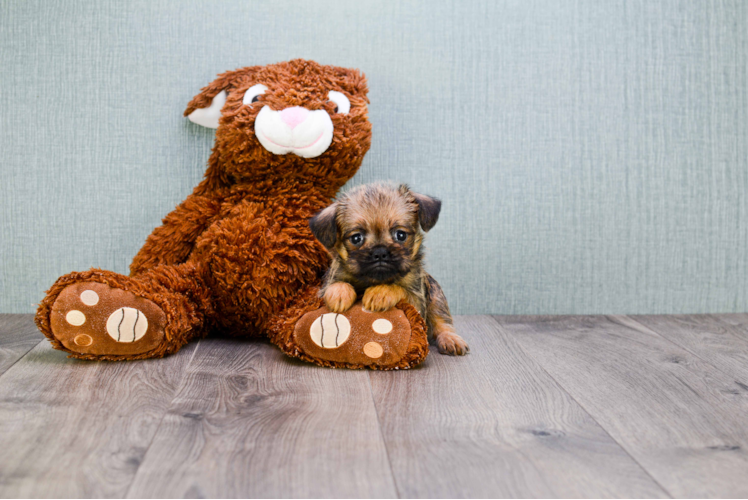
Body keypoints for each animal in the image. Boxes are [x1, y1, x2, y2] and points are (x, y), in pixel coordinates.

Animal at [310, 184, 468, 356]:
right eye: (356, 238)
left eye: (400, 235)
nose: (380, 252)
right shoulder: (326, 284)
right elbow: (337, 284)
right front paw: (339, 293)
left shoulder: (417, 301)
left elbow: (399, 288)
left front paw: (380, 292)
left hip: (435, 294)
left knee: (442, 322)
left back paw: (450, 339)